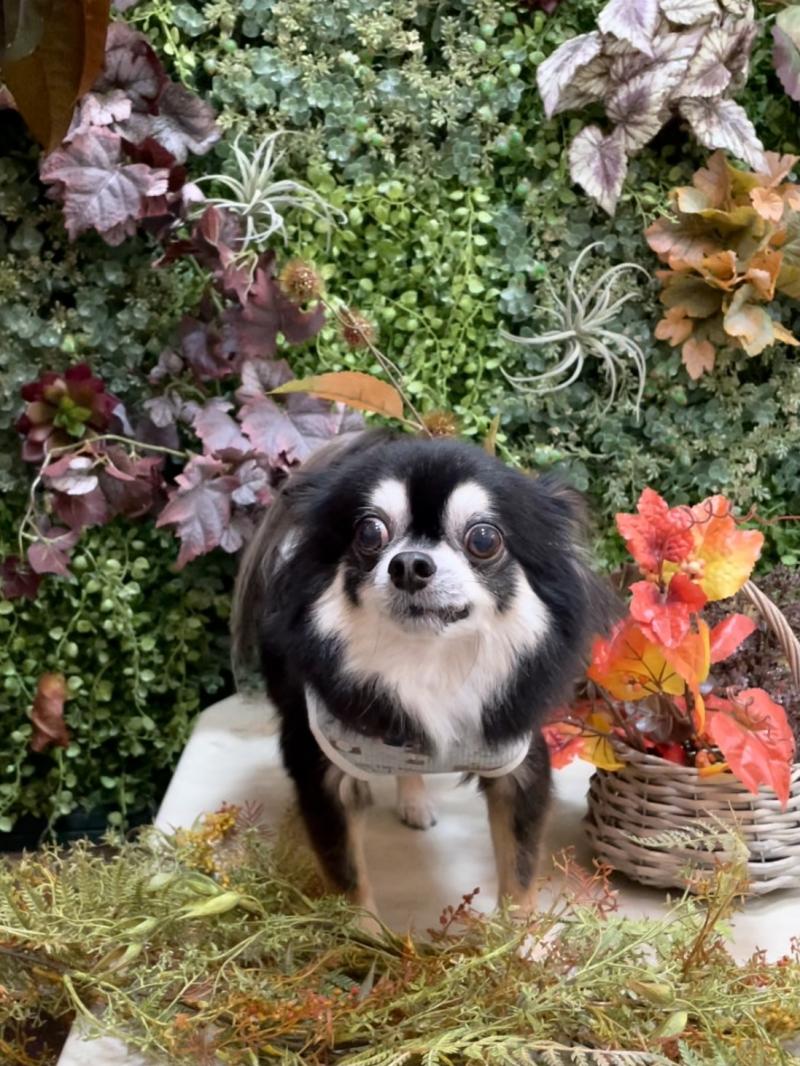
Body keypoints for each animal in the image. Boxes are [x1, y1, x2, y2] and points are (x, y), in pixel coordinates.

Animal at [232, 430, 609, 921]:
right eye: (369, 533)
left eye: (484, 539)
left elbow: (520, 867)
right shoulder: (320, 771)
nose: (409, 564)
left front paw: (518, 937)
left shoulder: (517, 763)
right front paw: (363, 937)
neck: (428, 664)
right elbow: (347, 877)